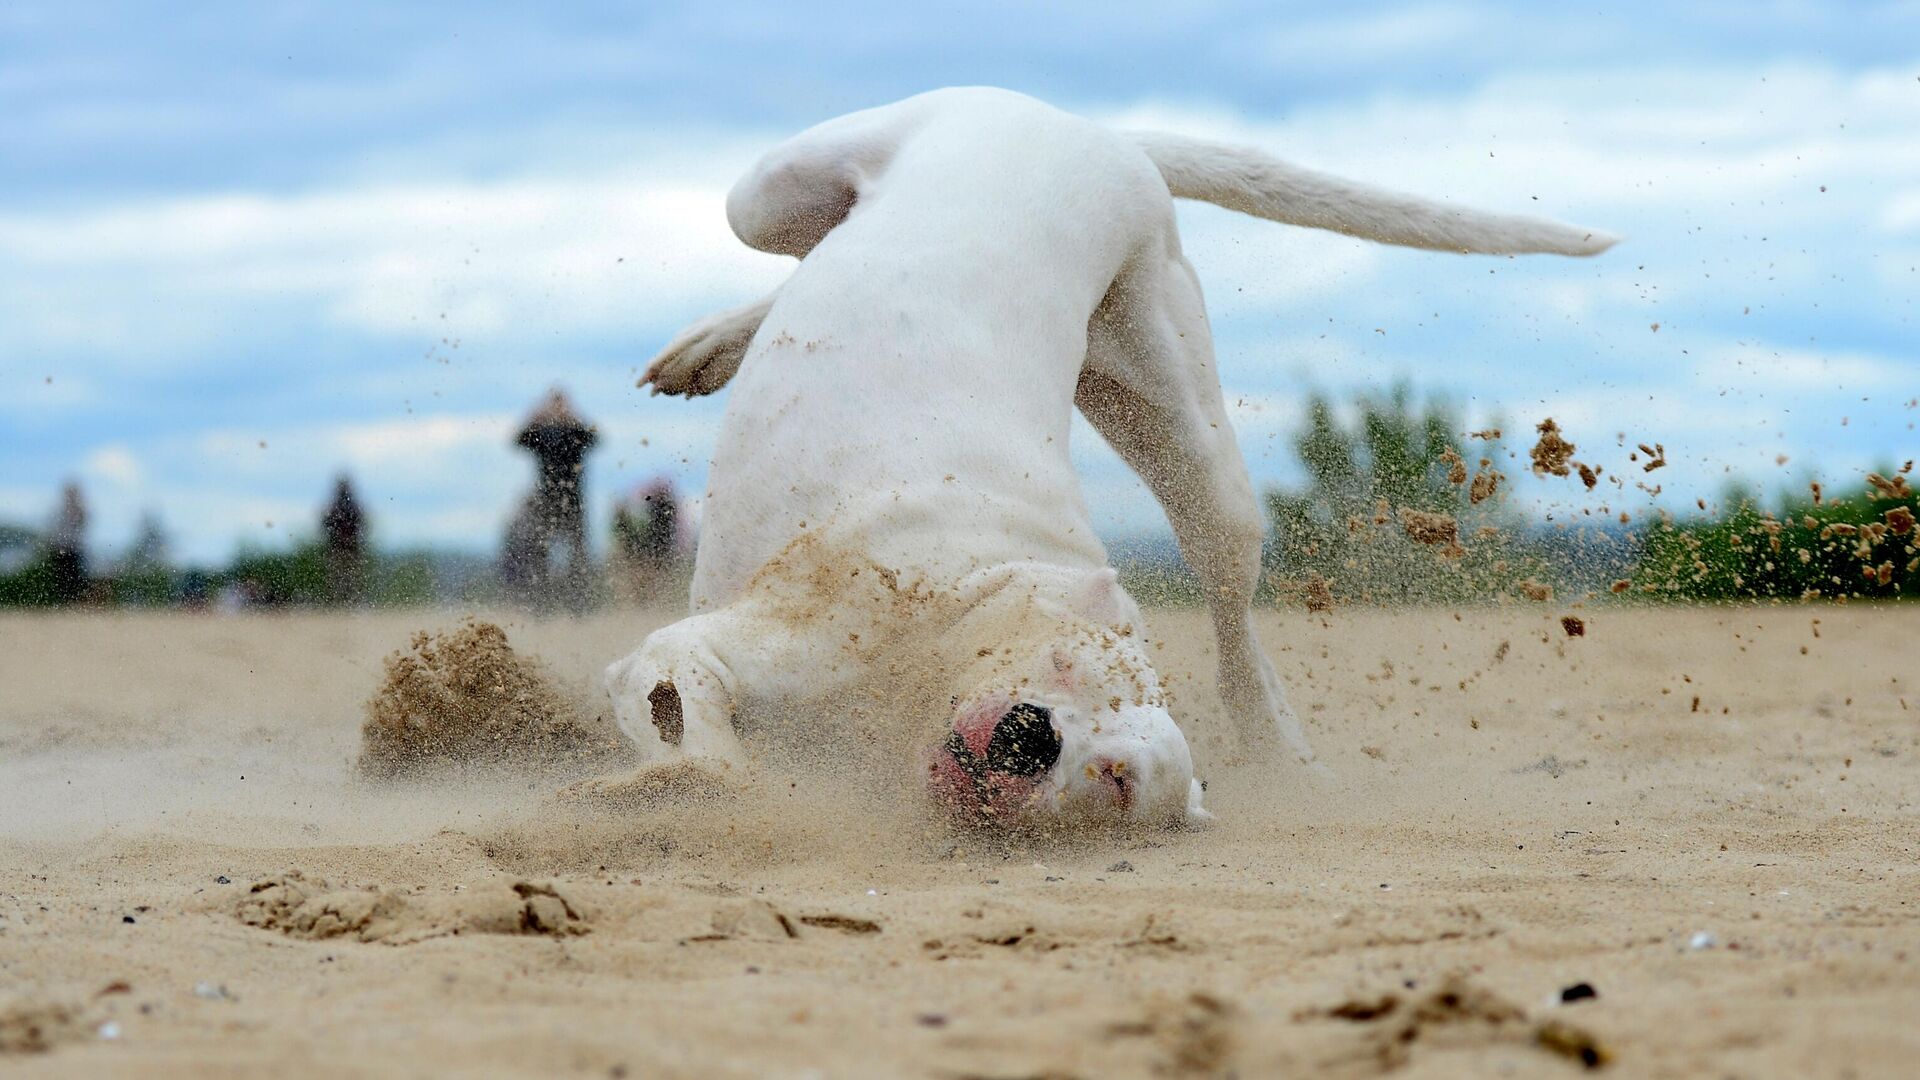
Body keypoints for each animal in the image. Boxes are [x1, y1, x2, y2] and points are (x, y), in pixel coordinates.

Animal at [602, 88, 1605, 822]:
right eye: (1067, 668)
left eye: (1115, 777)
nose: (1031, 738)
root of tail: (1100, 131)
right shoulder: (715, 646)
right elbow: (697, 731)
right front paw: (684, 785)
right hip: (778, 188)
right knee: (793, 244)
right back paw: (710, 344)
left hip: (1172, 421)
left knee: (1236, 625)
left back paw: (1281, 752)